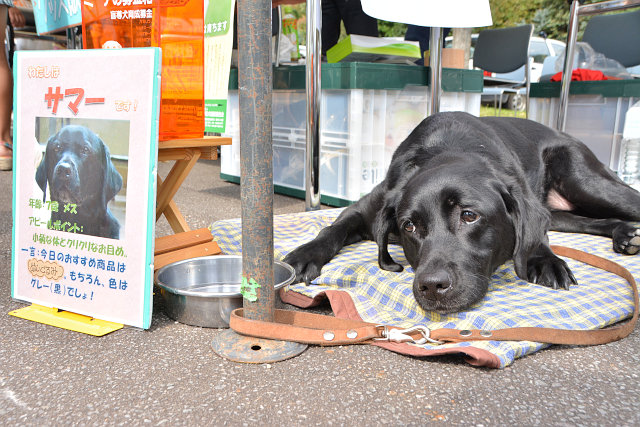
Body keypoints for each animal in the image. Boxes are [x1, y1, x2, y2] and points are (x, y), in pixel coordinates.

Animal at [284, 113, 640, 314]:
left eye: (469, 216)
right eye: (409, 226)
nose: (432, 286)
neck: (448, 150)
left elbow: (535, 240)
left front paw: (545, 261)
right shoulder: (367, 207)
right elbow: (332, 229)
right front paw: (302, 256)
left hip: (585, 179)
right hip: (562, 209)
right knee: (589, 220)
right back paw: (625, 234)